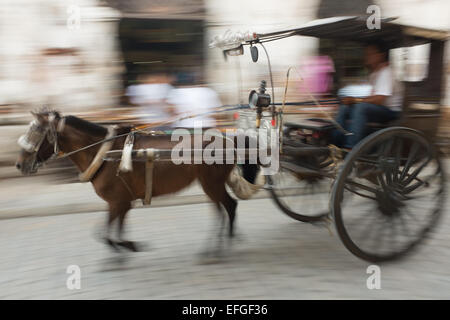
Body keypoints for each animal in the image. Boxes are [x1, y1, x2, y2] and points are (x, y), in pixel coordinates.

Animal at [15, 110, 256, 255]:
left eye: (36, 132)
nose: (19, 164)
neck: (104, 153)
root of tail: (228, 139)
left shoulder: (117, 201)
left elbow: (106, 233)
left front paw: (125, 246)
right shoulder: (120, 202)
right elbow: (109, 230)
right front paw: (126, 246)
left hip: (211, 183)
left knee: (226, 208)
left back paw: (218, 247)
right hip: (211, 184)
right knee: (227, 207)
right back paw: (226, 241)